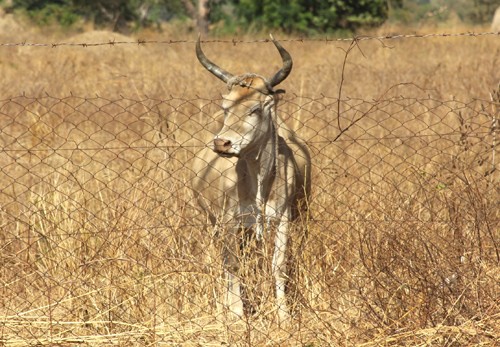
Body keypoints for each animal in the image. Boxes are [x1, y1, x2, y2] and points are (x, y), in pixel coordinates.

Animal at [190, 34, 308, 322]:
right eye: (225, 108)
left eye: (254, 109)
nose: (222, 143)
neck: (258, 183)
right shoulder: (229, 220)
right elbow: (231, 265)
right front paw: (235, 313)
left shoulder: (282, 218)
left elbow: (278, 265)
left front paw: (283, 315)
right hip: (212, 222)